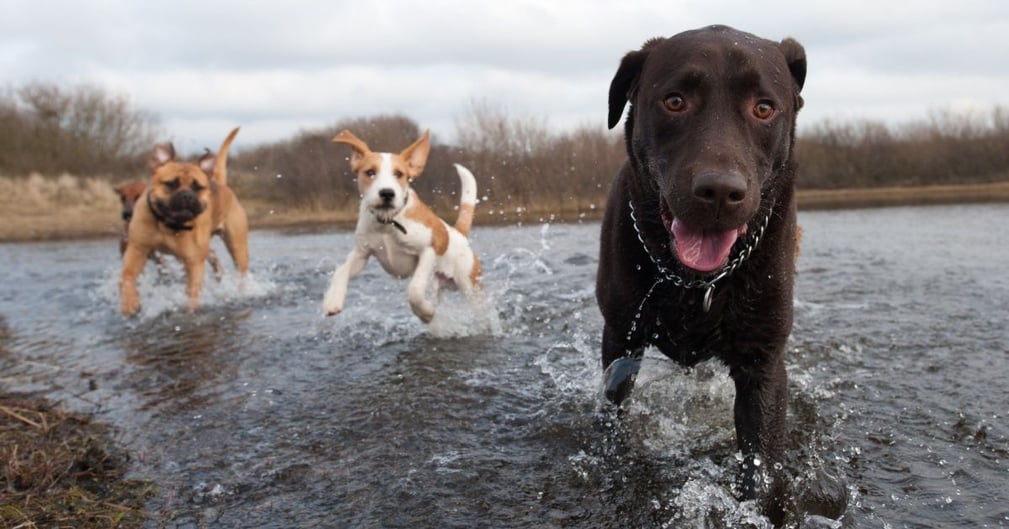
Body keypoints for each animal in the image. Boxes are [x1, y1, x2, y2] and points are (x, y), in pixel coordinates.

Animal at [118, 128, 250, 316]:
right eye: (171, 184)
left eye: (198, 187)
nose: (187, 196)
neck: (169, 224)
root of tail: (219, 183)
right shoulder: (137, 250)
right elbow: (126, 277)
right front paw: (130, 303)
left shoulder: (194, 263)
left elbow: (192, 292)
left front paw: (190, 311)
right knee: (214, 258)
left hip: (237, 247)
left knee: (242, 271)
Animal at [320, 130, 482, 325]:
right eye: (370, 172)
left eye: (399, 174)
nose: (387, 193)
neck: (388, 223)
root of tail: (459, 233)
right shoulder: (362, 252)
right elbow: (341, 271)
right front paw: (332, 300)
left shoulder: (428, 250)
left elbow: (415, 289)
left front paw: (425, 313)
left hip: (472, 289)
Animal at [597, 25, 803, 520]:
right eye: (675, 101)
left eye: (764, 108)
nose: (720, 192)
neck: (694, 282)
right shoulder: (619, 339)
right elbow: (612, 422)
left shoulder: (763, 363)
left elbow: (761, 469)